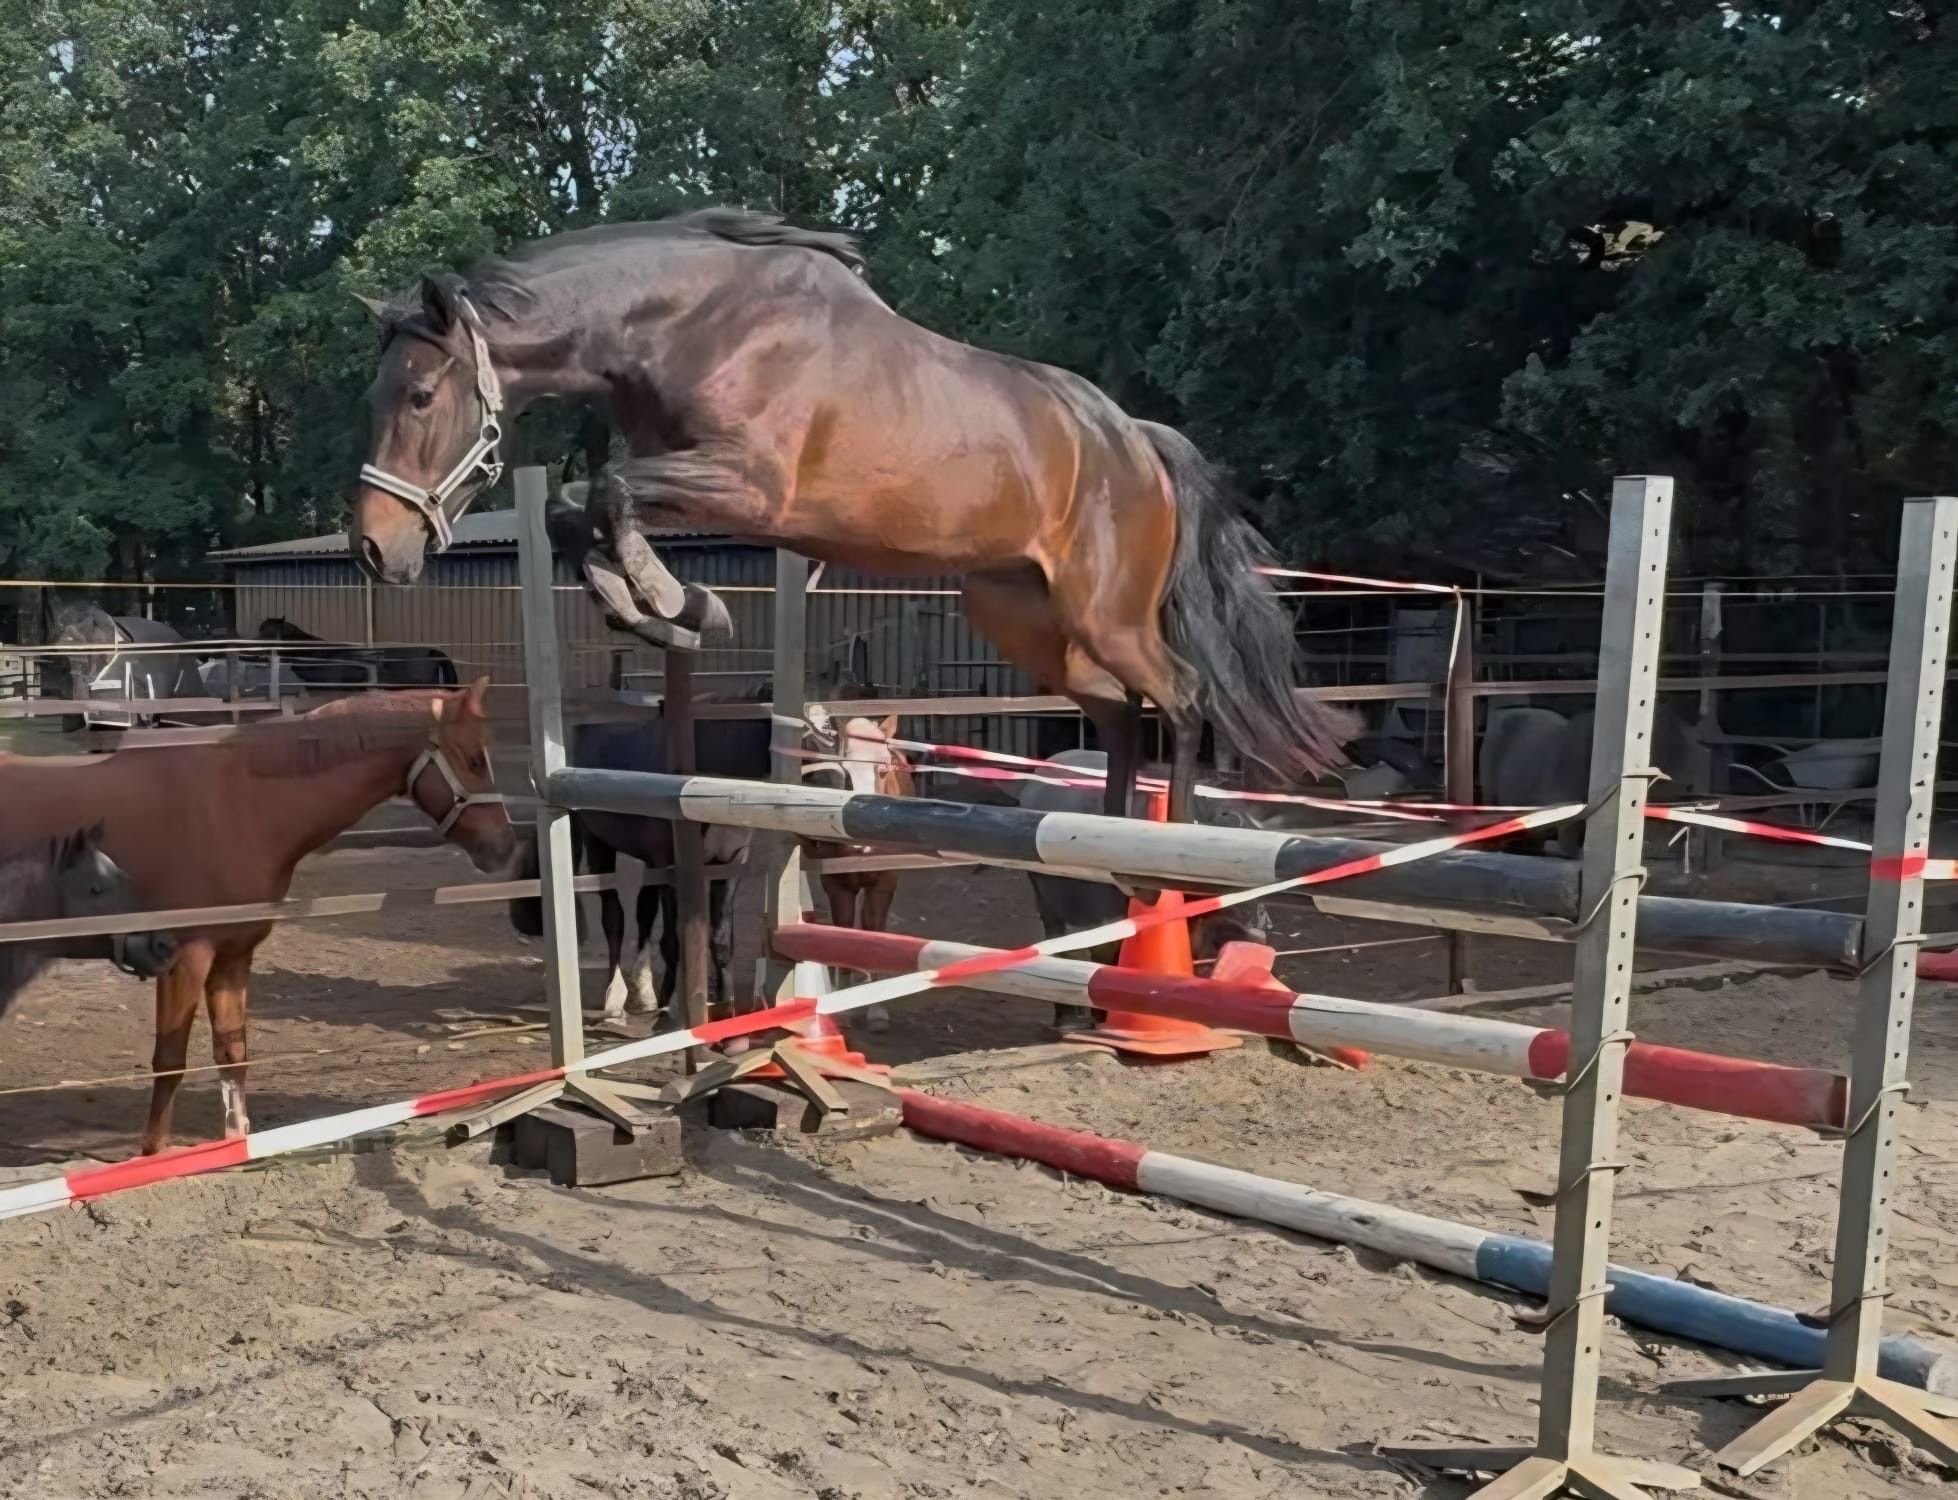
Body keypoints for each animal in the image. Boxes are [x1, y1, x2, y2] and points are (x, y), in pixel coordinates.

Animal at [346, 207, 1352, 829]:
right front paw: (656, 610)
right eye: (378, 395)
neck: (693, 324)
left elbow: (606, 492)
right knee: (1117, 714)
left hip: (1106, 614)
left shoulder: (749, 486)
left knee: (1182, 699)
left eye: (422, 394)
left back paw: (1169, 862)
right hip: (1024, 616)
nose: (373, 547)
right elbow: (571, 507)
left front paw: (678, 601)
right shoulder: (696, 481)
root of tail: (1137, 441)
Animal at [509, 714, 768, 1022]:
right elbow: (673, 940)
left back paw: (642, 993)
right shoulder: (671, 867)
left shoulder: (730, 865)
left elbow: (721, 940)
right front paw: (674, 1006)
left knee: (643, 912)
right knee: (614, 919)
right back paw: (615, 996)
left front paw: (727, 1010)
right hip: (599, 843)